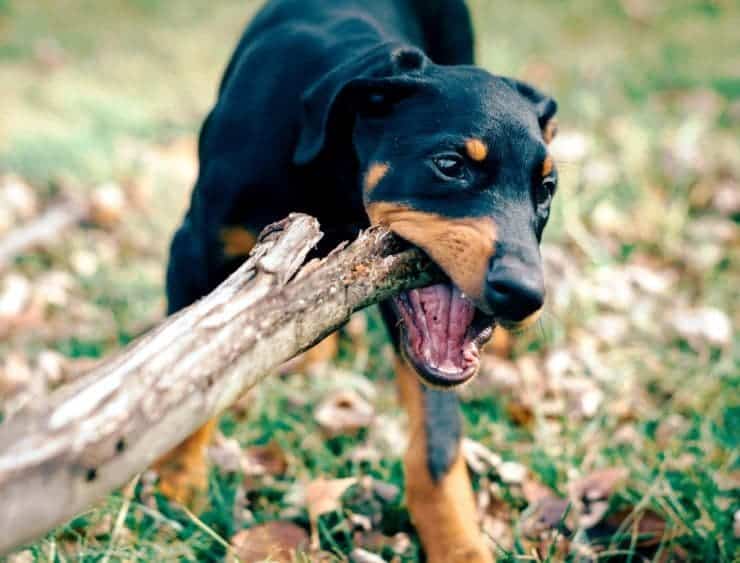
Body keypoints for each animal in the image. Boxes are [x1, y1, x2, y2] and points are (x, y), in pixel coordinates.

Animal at [158, 2, 560, 560]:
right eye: (450, 165)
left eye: (546, 189)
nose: (524, 295)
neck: (333, 175)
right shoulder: (192, 253)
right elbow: (189, 381)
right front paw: (178, 485)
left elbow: (437, 441)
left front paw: (460, 545)